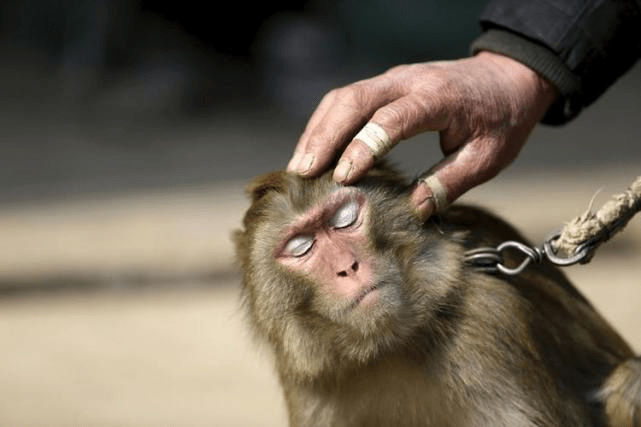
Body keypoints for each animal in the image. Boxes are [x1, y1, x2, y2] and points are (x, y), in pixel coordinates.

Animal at [233, 163, 641, 427]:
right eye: (301, 247)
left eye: (345, 220)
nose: (348, 267)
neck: (390, 347)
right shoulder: (307, 382)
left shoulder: (489, 325)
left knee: (630, 386)